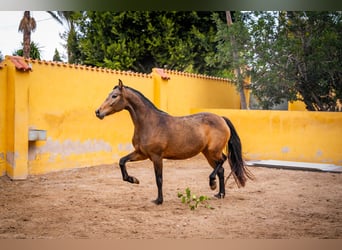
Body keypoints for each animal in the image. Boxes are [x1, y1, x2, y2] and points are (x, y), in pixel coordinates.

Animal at [95, 79, 252, 204]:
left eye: (114, 96)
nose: (98, 112)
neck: (150, 123)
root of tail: (221, 118)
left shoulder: (156, 157)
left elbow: (159, 179)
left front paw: (158, 200)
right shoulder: (141, 154)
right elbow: (122, 161)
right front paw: (133, 179)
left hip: (214, 151)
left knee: (222, 161)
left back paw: (212, 184)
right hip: (207, 153)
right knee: (221, 169)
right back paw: (219, 194)